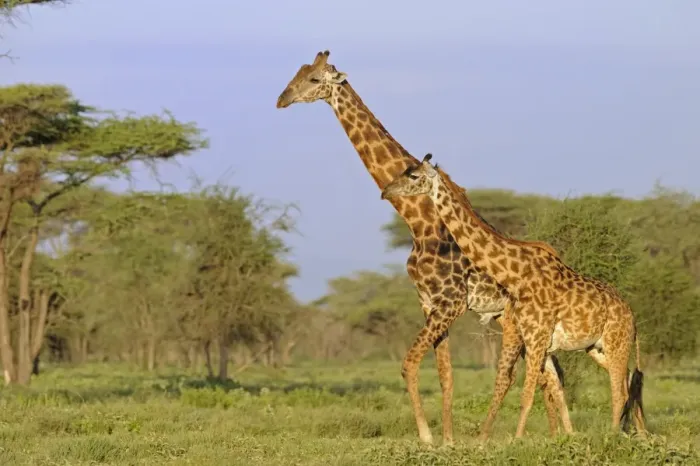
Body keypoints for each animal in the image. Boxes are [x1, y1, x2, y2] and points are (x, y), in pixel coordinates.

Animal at [276, 50, 573, 444]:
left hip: (517, 321)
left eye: (312, 79)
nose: (281, 99)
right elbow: (445, 376)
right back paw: (562, 435)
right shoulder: (429, 303)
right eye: (297, 72)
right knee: (551, 374)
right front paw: (447, 440)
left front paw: (427, 438)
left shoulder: (450, 304)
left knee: (541, 375)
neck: (419, 223)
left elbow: (410, 363)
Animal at [381, 153, 646, 438]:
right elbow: (539, 389)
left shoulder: (536, 337)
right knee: (626, 383)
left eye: (413, 176)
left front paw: (516, 441)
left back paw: (614, 435)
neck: (516, 274)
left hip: (616, 344)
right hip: (597, 348)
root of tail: (632, 317)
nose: (385, 192)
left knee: (619, 391)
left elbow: (527, 394)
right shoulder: (533, 339)